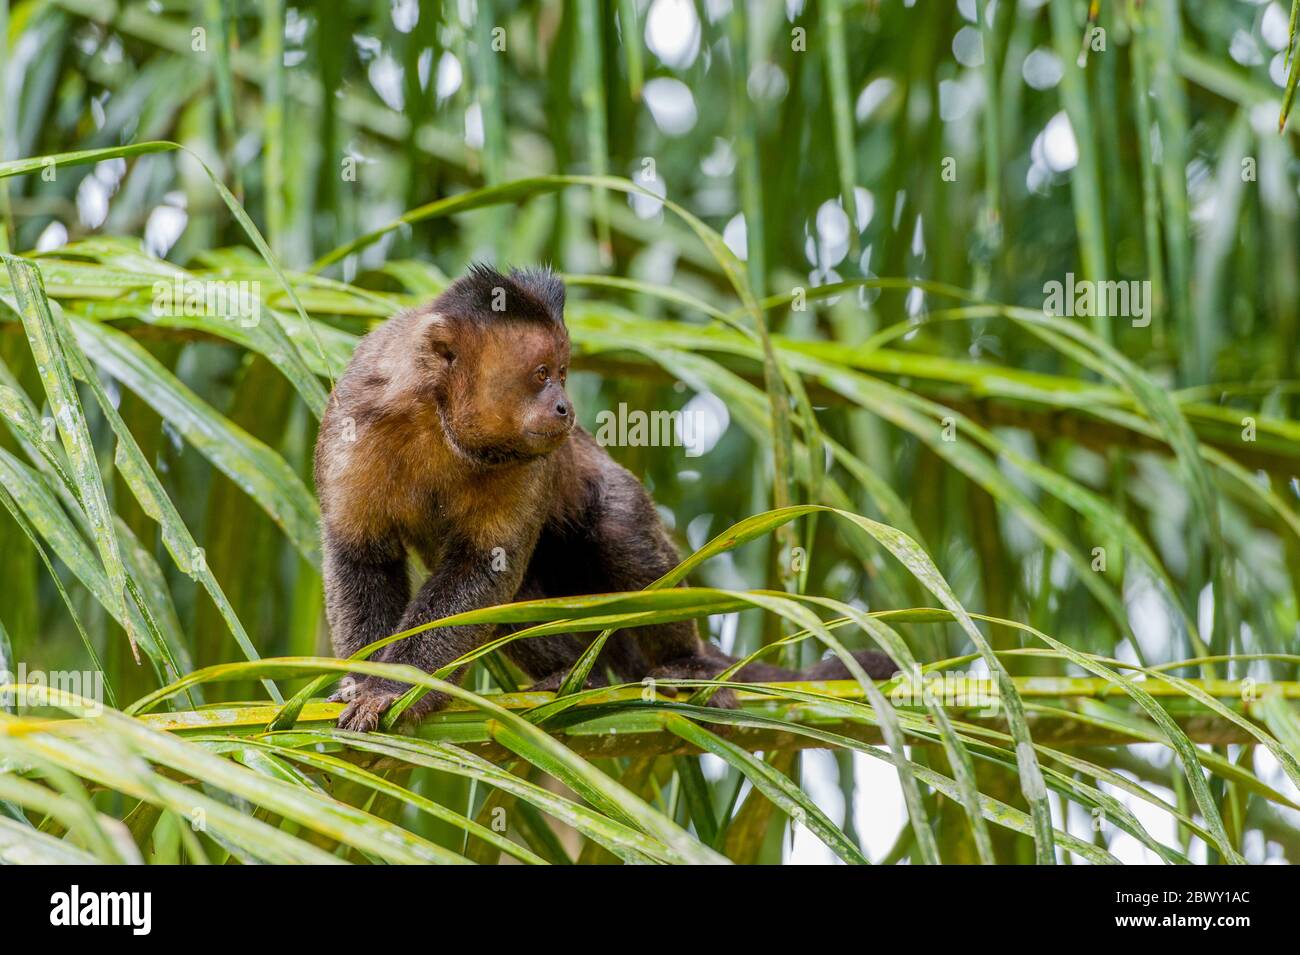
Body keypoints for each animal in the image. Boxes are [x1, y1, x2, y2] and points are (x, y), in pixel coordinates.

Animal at [314, 265, 894, 738]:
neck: (435, 419)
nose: (565, 406)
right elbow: (361, 554)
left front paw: (391, 687)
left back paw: (679, 665)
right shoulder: (356, 413)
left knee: (620, 531)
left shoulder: (530, 461)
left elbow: (486, 567)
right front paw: (369, 680)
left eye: (563, 373)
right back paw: (569, 675)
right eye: (542, 374)